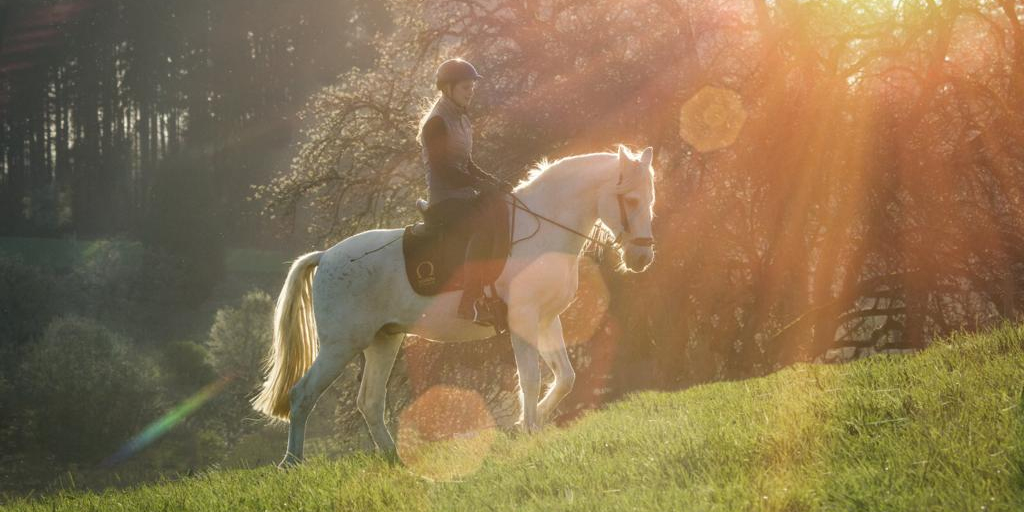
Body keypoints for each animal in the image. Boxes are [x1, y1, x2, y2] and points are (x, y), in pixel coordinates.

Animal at [251, 143, 659, 464]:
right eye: (631, 199)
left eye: (650, 200)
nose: (642, 258)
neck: (544, 231)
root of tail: (326, 256)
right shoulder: (523, 320)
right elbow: (530, 379)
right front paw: (527, 430)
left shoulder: (547, 320)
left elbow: (565, 377)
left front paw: (531, 422)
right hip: (341, 345)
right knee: (303, 394)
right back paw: (292, 462)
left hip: (383, 341)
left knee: (370, 402)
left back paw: (394, 458)